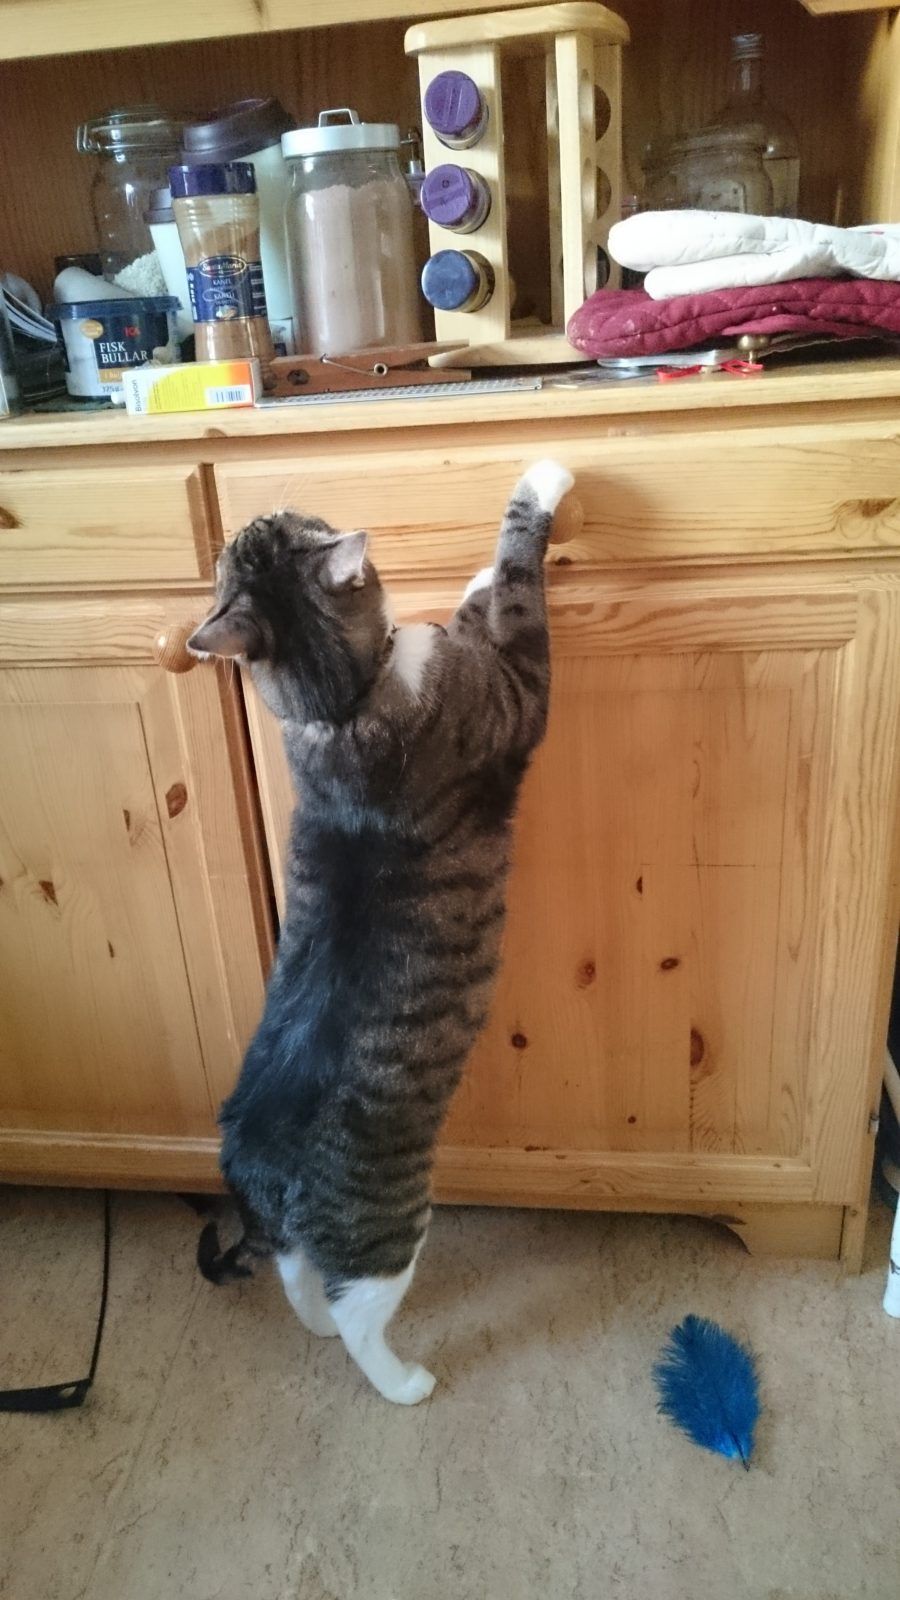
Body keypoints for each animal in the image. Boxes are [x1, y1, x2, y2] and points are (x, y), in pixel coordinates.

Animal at [185, 454, 570, 1401]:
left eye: (264, 533)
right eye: (296, 521)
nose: (267, 501)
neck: (342, 704)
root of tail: (256, 1162)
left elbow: (475, 605)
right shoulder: (516, 697)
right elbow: (513, 587)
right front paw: (543, 481)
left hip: (309, 1239)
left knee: (296, 1277)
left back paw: (318, 1329)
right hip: (391, 1224)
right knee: (357, 1302)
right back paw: (403, 1380)